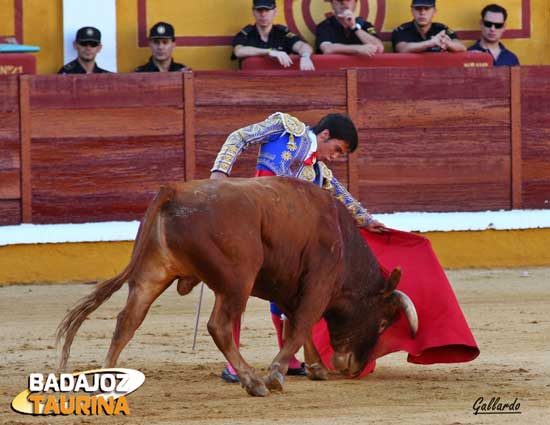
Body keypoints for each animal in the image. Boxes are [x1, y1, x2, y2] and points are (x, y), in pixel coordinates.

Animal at [57, 176, 418, 394]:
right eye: (383, 321)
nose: (353, 366)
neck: (342, 237)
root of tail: (176, 190)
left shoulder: (289, 288)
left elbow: (294, 324)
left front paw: (316, 367)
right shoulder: (319, 283)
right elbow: (302, 324)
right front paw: (276, 375)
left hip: (152, 273)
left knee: (127, 321)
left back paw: (108, 377)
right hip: (236, 282)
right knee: (219, 325)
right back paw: (252, 381)